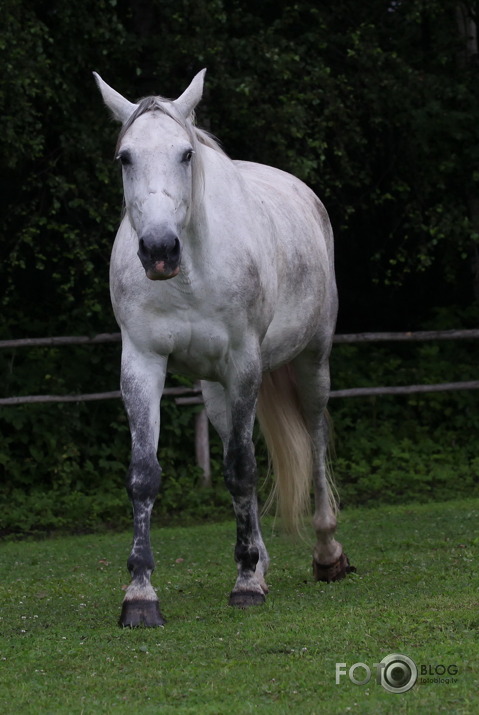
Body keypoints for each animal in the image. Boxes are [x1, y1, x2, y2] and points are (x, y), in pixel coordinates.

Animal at [95, 68, 354, 628]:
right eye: (125, 157)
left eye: (185, 154)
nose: (159, 250)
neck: (192, 270)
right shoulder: (142, 363)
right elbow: (145, 474)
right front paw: (140, 594)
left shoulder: (244, 364)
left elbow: (241, 469)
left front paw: (245, 586)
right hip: (214, 391)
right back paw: (259, 561)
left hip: (312, 362)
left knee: (315, 436)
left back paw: (326, 553)